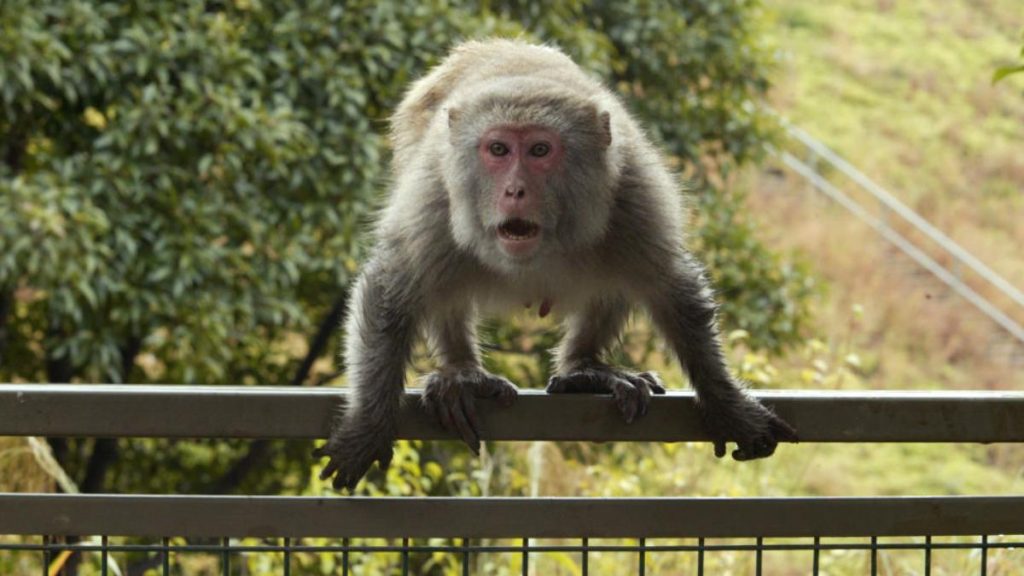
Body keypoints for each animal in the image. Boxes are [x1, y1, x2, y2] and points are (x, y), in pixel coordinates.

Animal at [314, 39, 798, 490]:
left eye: (540, 150)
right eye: (498, 149)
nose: (515, 190)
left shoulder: (632, 196)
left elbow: (671, 290)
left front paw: (727, 404)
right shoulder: (435, 198)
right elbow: (390, 290)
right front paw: (369, 425)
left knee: (617, 279)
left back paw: (585, 369)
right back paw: (462, 374)